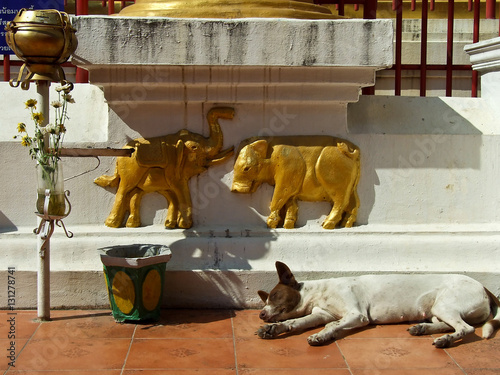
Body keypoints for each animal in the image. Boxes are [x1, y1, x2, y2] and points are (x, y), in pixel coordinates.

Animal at [258, 262, 500, 348]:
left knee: (466, 328)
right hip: (435, 309)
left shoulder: (356, 315)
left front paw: (321, 336)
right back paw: (423, 328)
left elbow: (331, 326)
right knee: (449, 324)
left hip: (445, 305)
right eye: (267, 299)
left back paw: (446, 340)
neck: (321, 292)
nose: (261, 314)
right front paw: (274, 329)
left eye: (275, 295)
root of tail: (484, 287)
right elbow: (296, 322)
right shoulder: (321, 314)